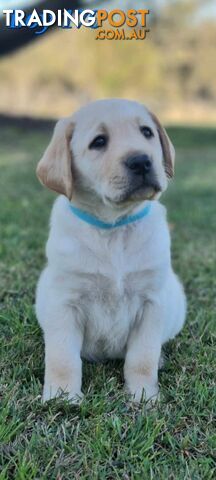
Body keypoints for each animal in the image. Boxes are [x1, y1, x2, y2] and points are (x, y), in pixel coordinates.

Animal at [35, 99, 186, 404]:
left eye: (146, 132)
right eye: (99, 142)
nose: (141, 161)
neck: (112, 228)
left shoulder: (152, 303)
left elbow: (142, 357)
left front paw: (143, 396)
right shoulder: (63, 302)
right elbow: (62, 358)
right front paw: (62, 398)